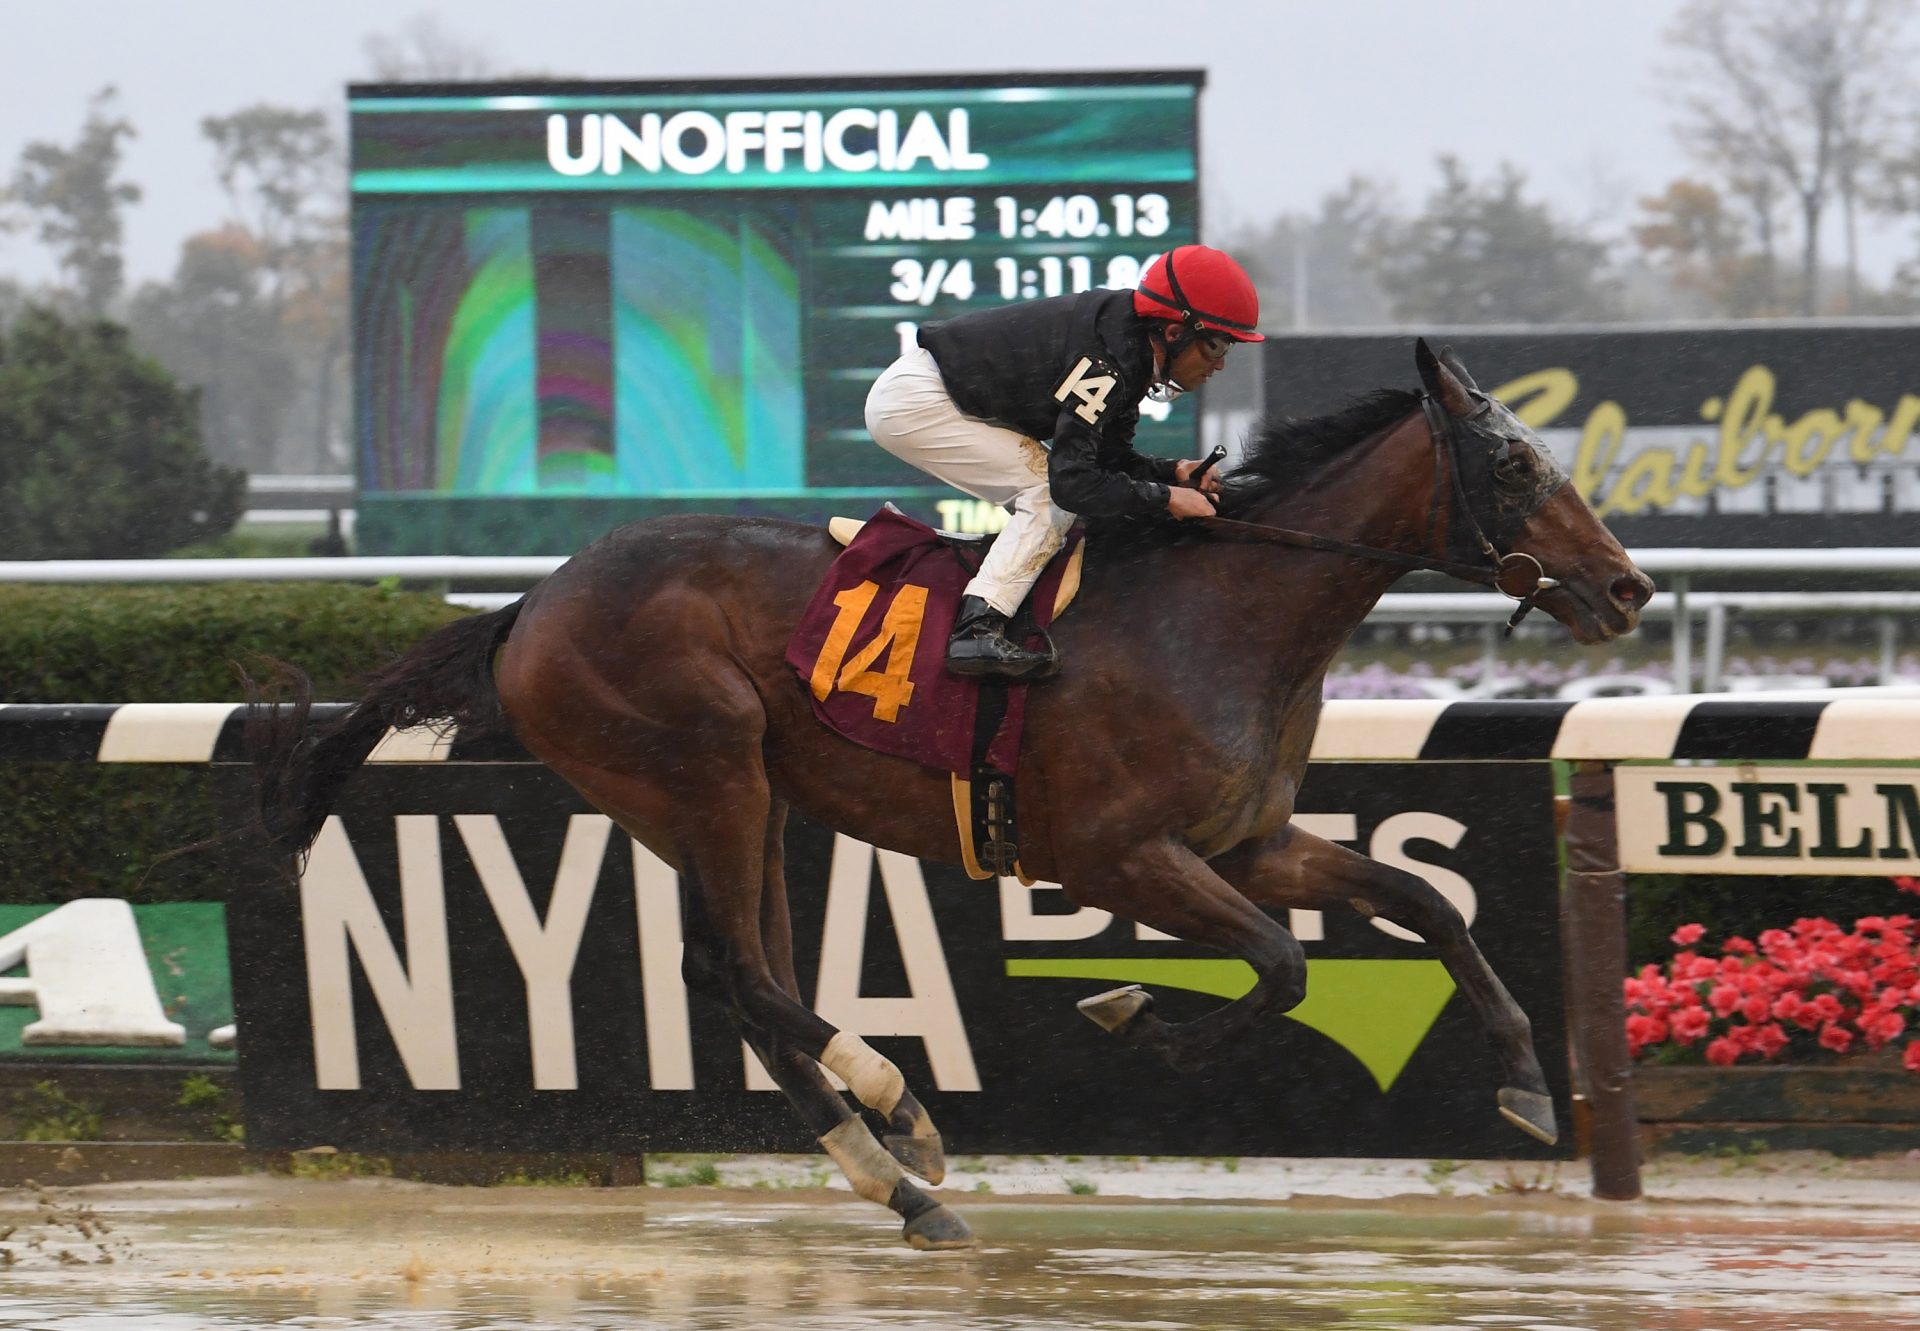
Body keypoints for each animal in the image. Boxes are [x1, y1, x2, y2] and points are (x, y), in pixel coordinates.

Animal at [251, 339, 1651, 1244]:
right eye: (1514, 468)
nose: (1629, 586)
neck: (1220, 610)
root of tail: (531, 604)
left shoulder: (1243, 840)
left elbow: (1426, 902)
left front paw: (1529, 1083)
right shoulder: (1113, 855)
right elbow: (1281, 962)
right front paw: (1135, 1011)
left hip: (741, 795)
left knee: (740, 971)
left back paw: (898, 1172)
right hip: (704, 770)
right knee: (735, 967)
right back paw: (902, 1116)